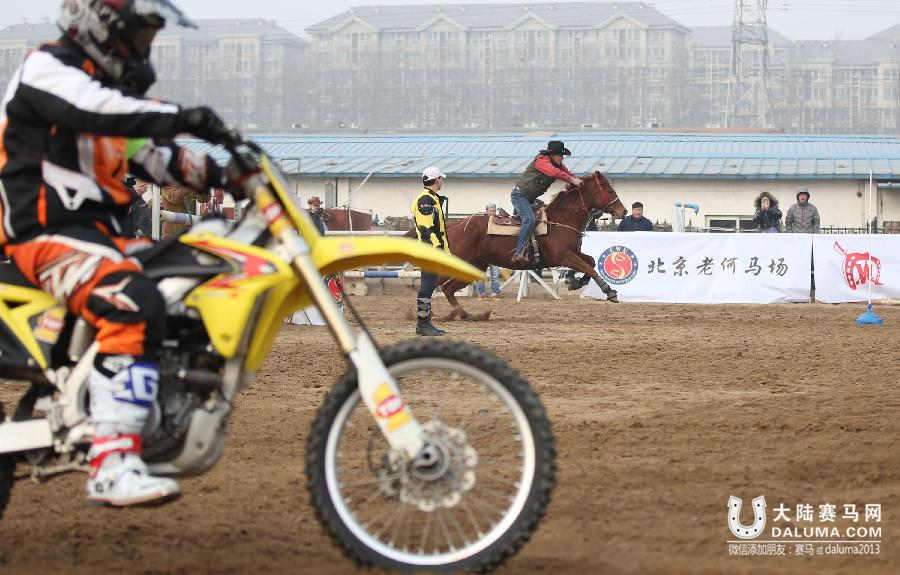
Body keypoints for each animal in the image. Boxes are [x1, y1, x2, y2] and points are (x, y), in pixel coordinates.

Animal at [437, 172, 628, 320]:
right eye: (609, 190)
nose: (623, 211)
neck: (559, 220)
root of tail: (453, 225)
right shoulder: (563, 256)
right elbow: (589, 268)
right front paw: (609, 291)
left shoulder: (573, 253)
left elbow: (591, 262)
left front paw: (575, 282)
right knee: (443, 286)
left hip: (476, 264)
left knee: (448, 288)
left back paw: (466, 315)